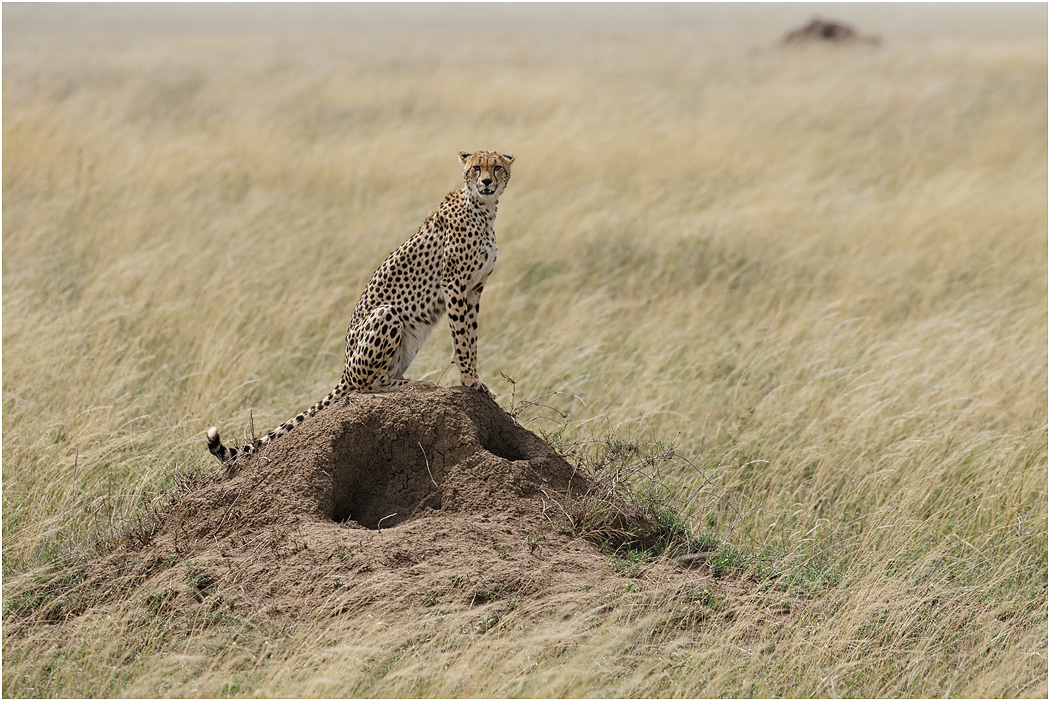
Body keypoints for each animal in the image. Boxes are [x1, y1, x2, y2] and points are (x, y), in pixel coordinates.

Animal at [206, 150, 515, 462]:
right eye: (476, 168)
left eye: (497, 167)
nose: (486, 182)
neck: (483, 209)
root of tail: (344, 369)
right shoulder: (454, 284)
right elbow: (462, 339)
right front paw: (469, 381)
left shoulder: (474, 289)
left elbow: (471, 337)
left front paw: (477, 381)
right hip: (387, 314)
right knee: (367, 384)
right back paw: (418, 385)